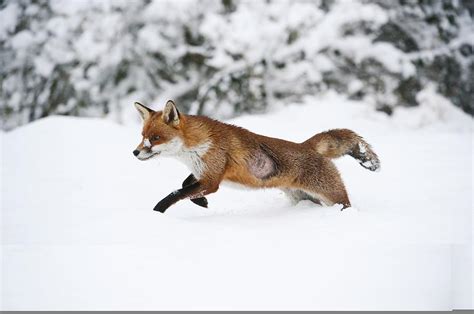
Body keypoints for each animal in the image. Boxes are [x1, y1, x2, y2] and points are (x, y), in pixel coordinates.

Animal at [131, 100, 380, 213]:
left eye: (155, 138)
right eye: (143, 136)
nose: (135, 152)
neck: (196, 146)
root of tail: (306, 145)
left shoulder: (212, 180)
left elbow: (177, 193)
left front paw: (157, 212)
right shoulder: (205, 172)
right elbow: (185, 185)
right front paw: (201, 202)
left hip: (332, 196)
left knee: (345, 204)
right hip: (303, 198)